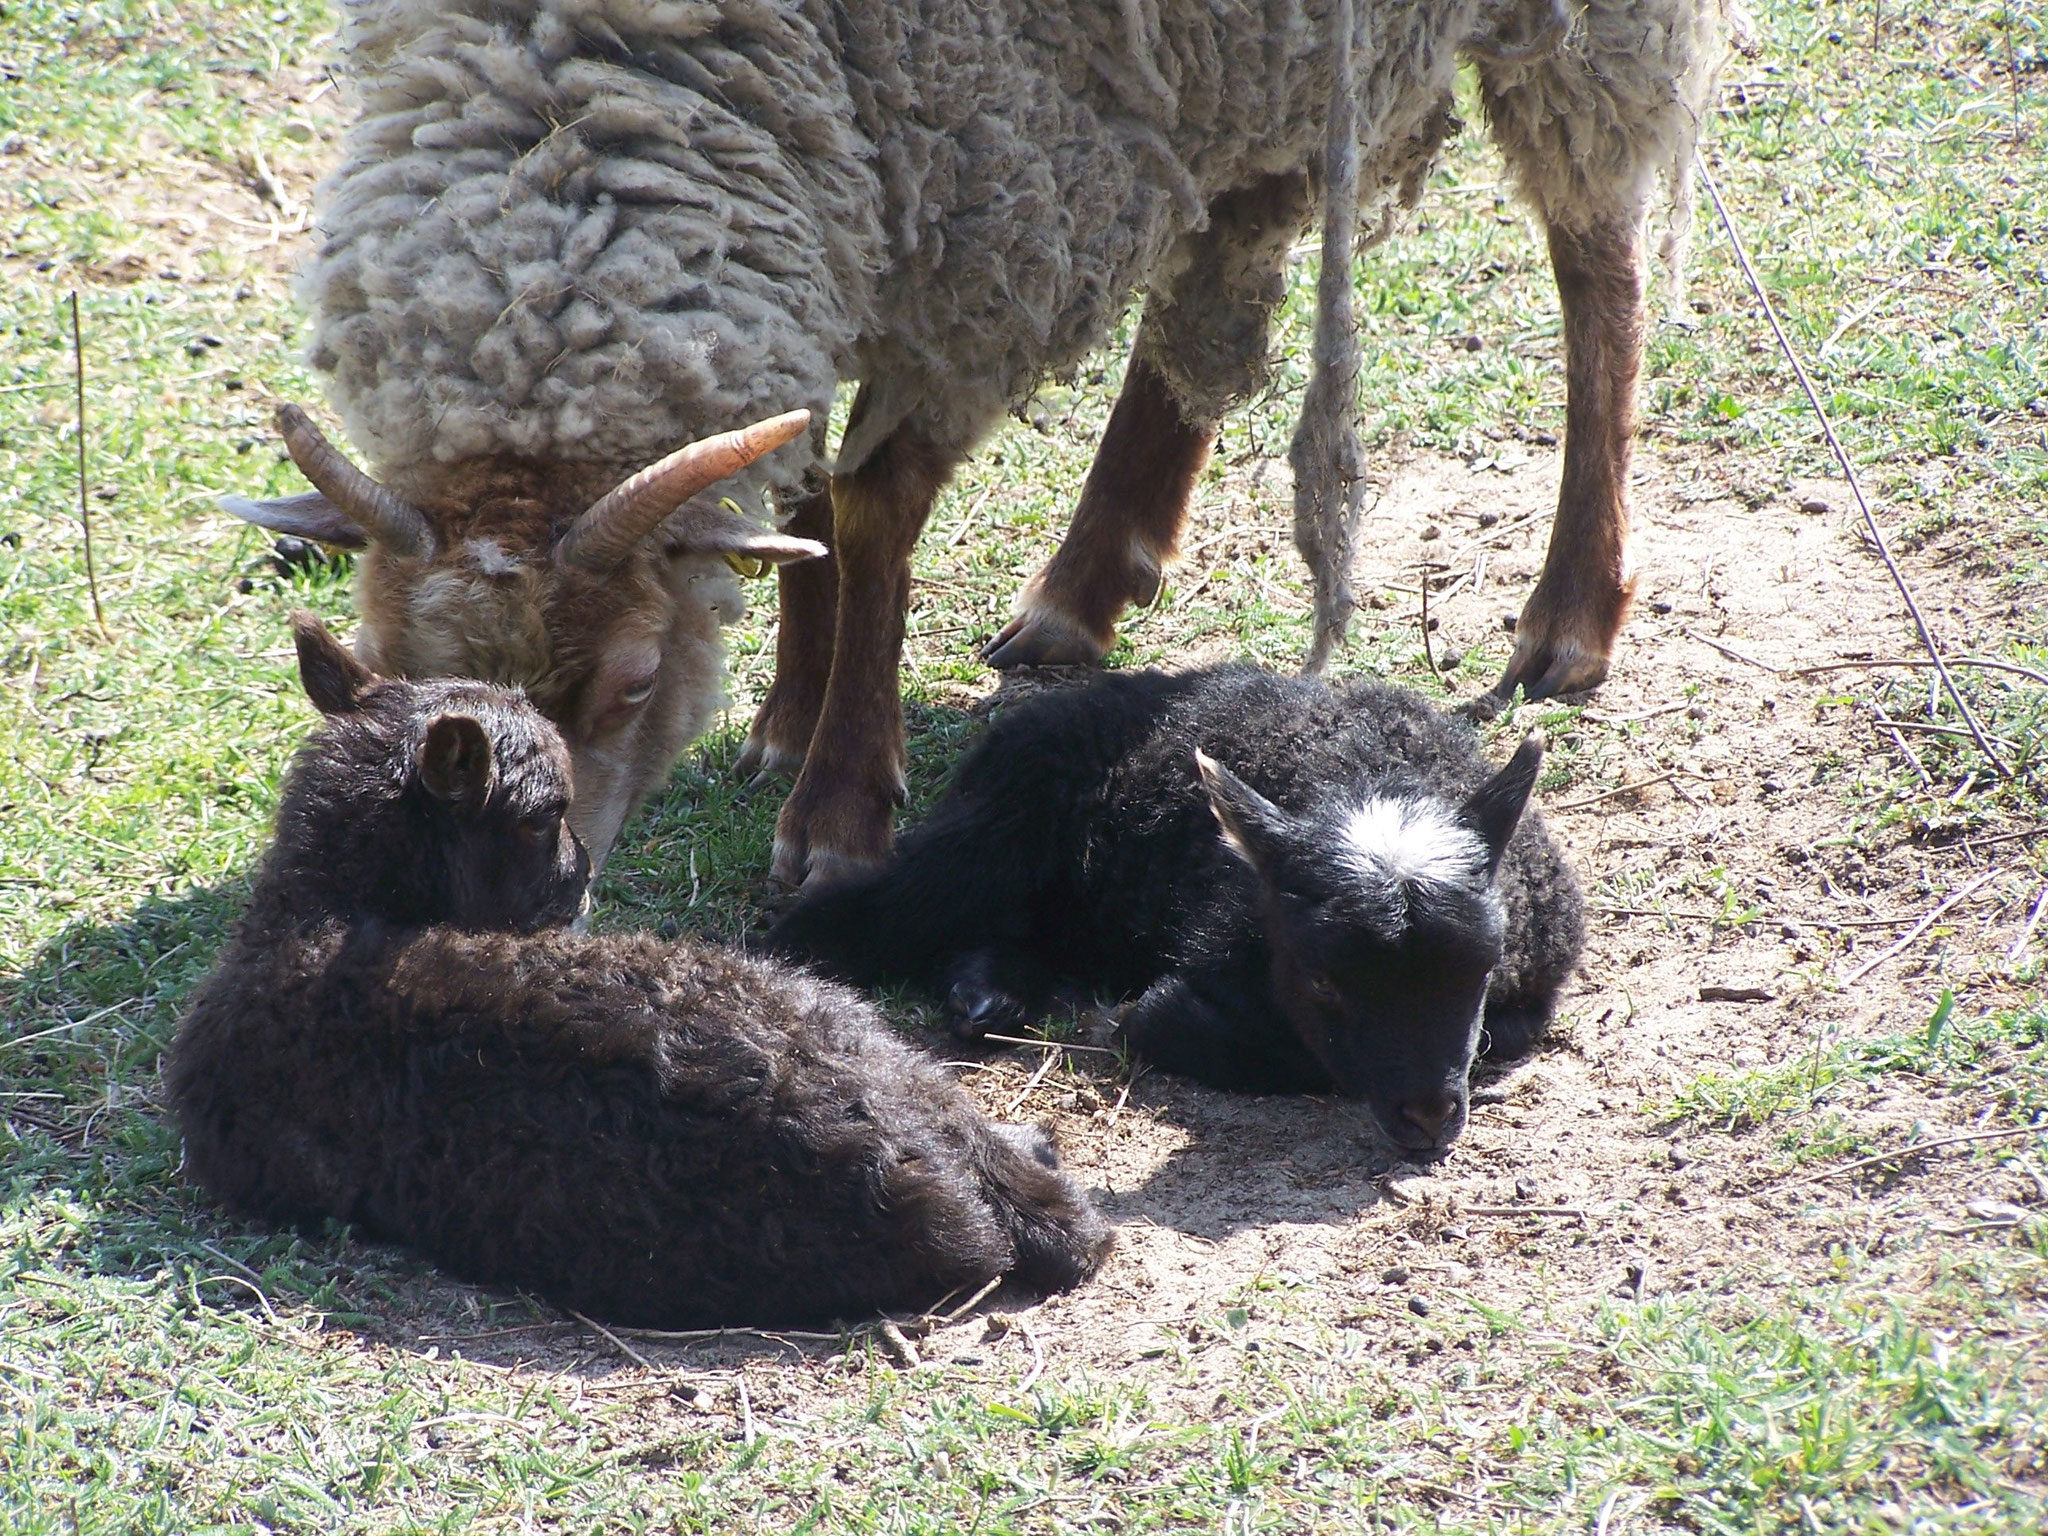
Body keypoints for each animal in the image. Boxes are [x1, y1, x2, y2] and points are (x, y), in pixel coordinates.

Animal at [220, 0, 1728, 884]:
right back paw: (1088, 577)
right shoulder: (845, 184)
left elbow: (870, 503)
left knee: (1596, 260)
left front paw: (836, 804)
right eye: (391, 673)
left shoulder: (996, 198)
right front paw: (789, 708)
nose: (533, 890)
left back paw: (1571, 612)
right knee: (1225, 246)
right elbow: (800, 484)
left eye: (636, 680)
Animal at [770, 667, 1581, 1163]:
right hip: (996, 830)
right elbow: (1258, 1044)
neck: (1365, 777)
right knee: (858, 919)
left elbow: (1501, 1032)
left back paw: (988, 994)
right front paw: (1147, 1017)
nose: (1428, 1115)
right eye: (1324, 983)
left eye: (1482, 972)